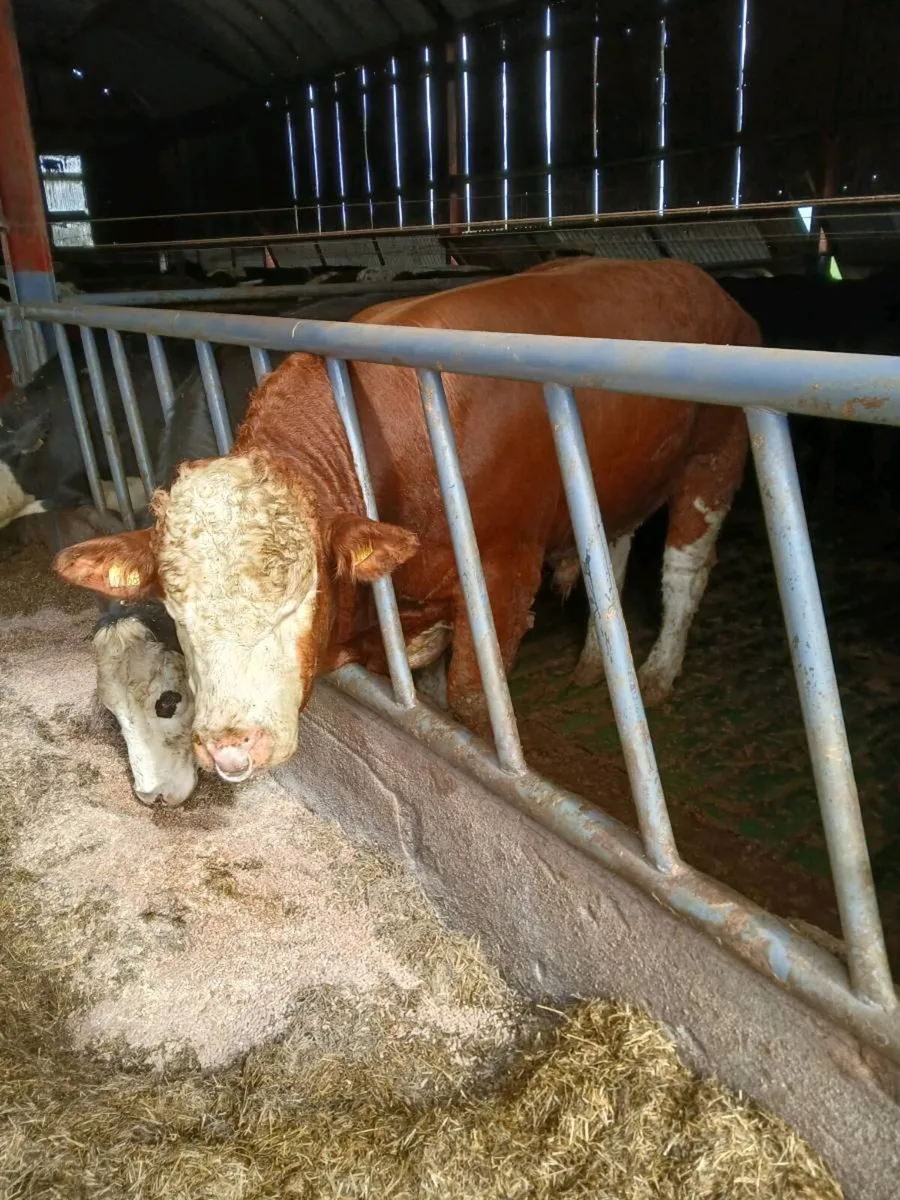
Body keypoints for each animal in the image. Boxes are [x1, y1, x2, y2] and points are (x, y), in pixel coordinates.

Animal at [54, 257, 758, 785]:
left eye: (299, 599)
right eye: (178, 610)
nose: (230, 748)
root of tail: (701, 281)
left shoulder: (502, 579)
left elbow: (472, 701)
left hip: (715, 458)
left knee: (684, 571)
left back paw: (658, 675)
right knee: (610, 553)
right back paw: (594, 663)